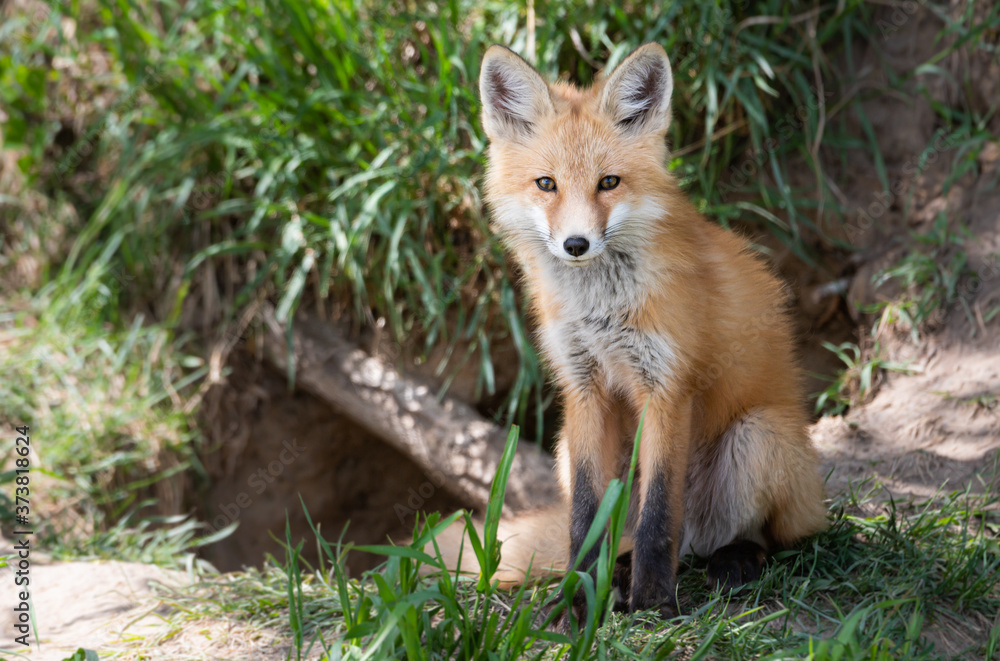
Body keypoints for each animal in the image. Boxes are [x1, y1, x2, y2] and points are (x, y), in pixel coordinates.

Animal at [426, 43, 824, 620]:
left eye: (608, 182)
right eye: (546, 184)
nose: (575, 244)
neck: (602, 310)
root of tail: (698, 541)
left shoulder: (667, 386)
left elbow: (659, 514)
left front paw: (655, 603)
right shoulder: (583, 388)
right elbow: (583, 519)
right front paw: (575, 601)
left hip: (760, 435)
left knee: (762, 536)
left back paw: (733, 559)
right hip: (566, 449)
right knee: (628, 532)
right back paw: (617, 571)